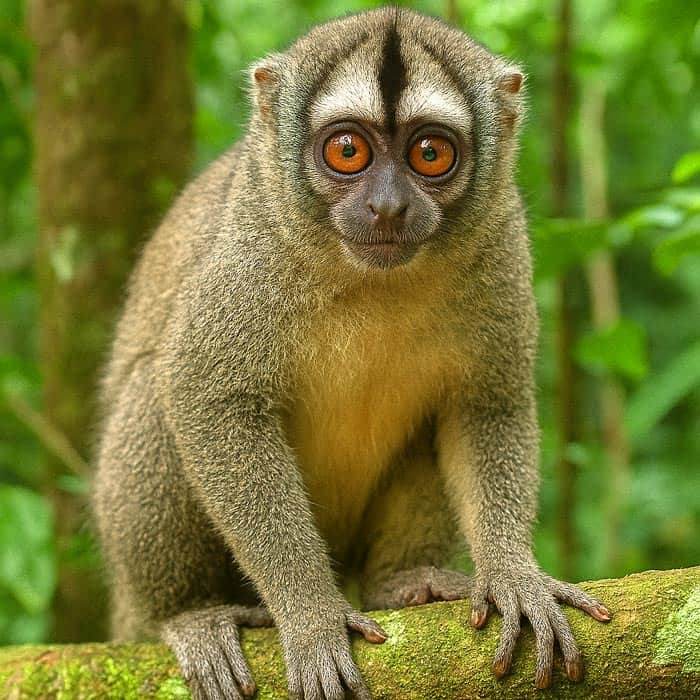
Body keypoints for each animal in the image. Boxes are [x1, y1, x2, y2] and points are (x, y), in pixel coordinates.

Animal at [93, 7, 612, 700]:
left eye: (429, 153)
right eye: (348, 151)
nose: (387, 206)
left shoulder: (501, 240)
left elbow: (486, 403)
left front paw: (513, 576)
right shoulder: (252, 243)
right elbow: (207, 397)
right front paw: (310, 613)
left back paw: (404, 583)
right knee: (154, 389)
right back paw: (190, 616)